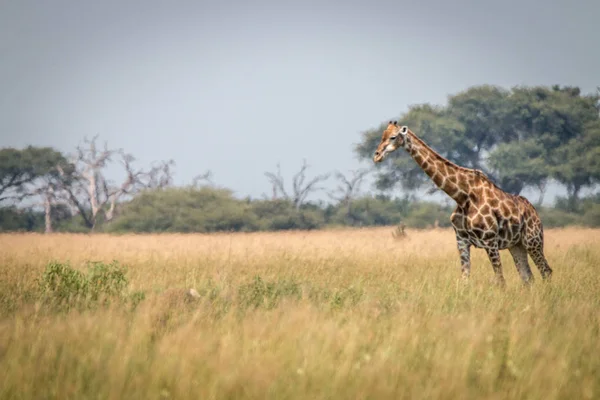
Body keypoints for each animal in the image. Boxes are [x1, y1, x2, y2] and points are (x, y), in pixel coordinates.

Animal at [376, 120, 552, 286]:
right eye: (382, 136)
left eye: (393, 137)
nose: (377, 155)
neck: (462, 196)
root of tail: (536, 213)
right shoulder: (461, 241)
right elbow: (465, 279)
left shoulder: (490, 241)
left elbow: (500, 280)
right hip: (516, 245)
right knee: (528, 277)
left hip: (533, 241)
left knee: (546, 271)